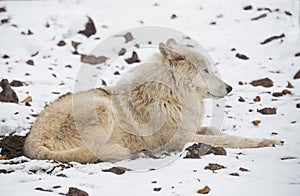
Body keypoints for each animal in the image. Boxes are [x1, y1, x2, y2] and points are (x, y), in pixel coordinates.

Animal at [22, 39, 282, 163]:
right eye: (205, 71)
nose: (229, 88)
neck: (172, 96)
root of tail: (31, 140)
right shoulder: (180, 139)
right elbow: (230, 140)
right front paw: (267, 143)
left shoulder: (191, 127)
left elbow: (220, 133)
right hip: (102, 108)